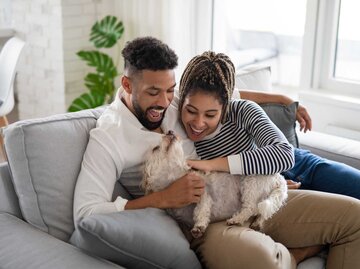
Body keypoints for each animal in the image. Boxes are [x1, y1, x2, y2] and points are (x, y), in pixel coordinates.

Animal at [142, 130, 288, 237]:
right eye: (156, 148)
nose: (170, 131)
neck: (177, 178)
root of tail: (279, 177)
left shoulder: (203, 193)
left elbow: (201, 210)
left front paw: (199, 227)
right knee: (263, 212)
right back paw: (257, 222)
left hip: (250, 182)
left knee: (251, 207)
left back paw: (236, 219)